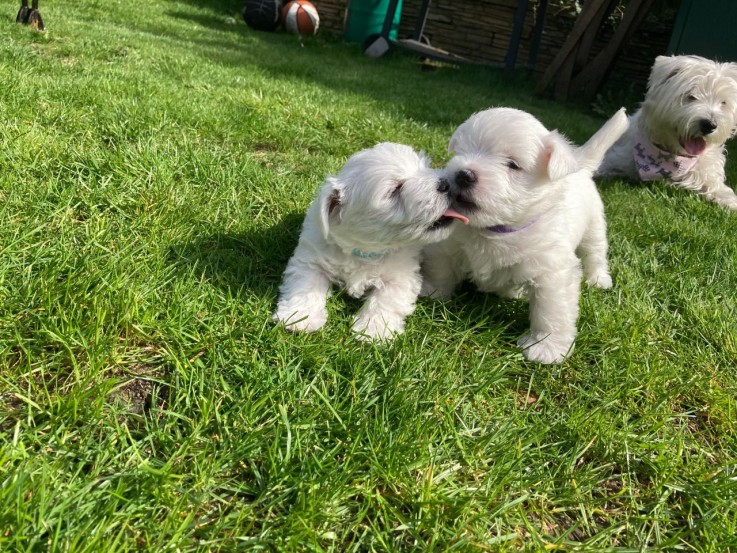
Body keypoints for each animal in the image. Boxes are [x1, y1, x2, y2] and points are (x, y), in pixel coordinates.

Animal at [274, 141, 468, 340]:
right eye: (395, 189)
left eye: (424, 167)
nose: (445, 183)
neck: (365, 250)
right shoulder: (311, 260)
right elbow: (305, 286)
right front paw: (299, 317)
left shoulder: (400, 276)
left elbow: (386, 300)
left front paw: (373, 331)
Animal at [422, 106, 624, 364]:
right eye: (463, 151)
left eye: (512, 164)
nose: (462, 174)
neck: (495, 230)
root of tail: (581, 167)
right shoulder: (447, 247)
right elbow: (440, 270)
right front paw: (432, 292)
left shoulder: (552, 273)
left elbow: (551, 310)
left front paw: (546, 347)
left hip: (594, 226)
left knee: (595, 254)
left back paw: (598, 279)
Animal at [596, 54, 736, 209]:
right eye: (690, 96)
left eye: (723, 102)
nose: (710, 125)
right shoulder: (616, 159)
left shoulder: (706, 172)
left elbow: (718, 188)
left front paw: (730, 203)